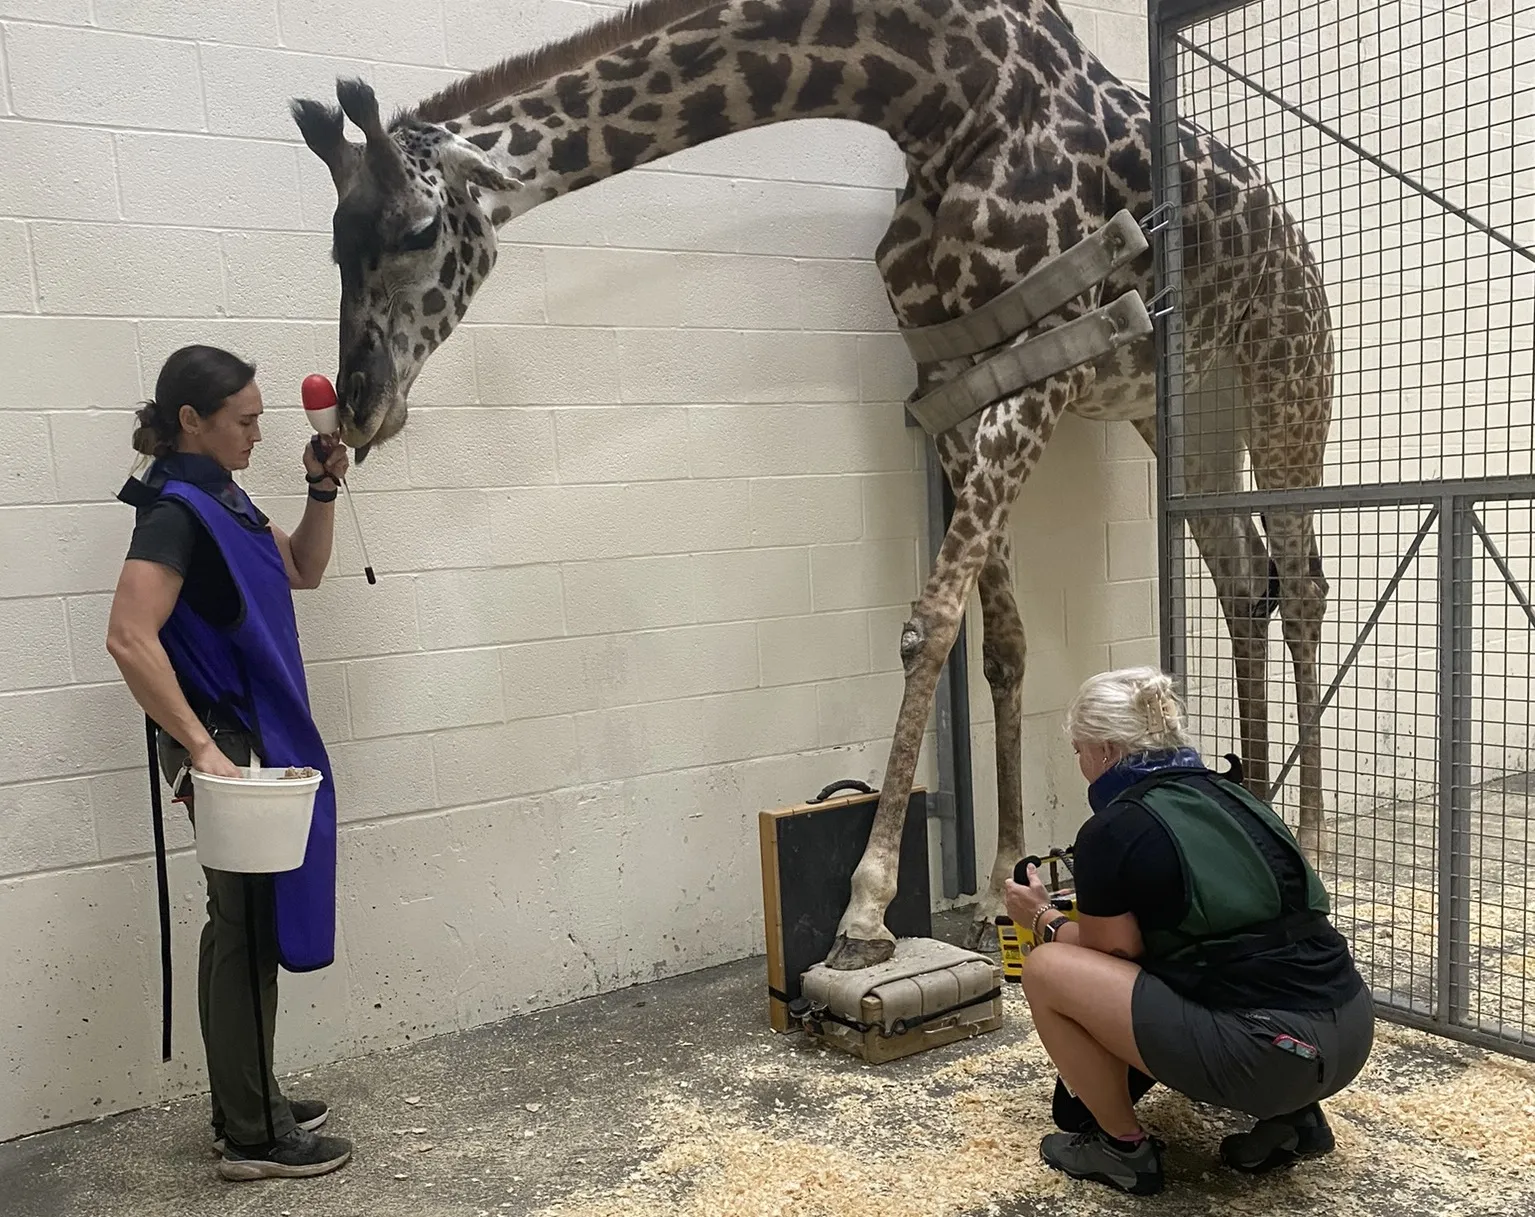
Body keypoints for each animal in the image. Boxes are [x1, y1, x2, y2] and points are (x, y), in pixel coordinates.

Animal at [292, 0, 1332, 971]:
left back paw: (1313, 834)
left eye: (419, 229)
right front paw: (1001, 873)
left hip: (1285, 379)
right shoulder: (956, 379)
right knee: (1243, 575)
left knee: (1303, 579)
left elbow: (931, 625)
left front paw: (865, 911)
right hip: (1184, 409)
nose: (359, 404)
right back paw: (1252, 798)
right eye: (334, 246)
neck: (938, 98)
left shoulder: (1048, 359)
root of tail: (1295, 237)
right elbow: (1000, 641)